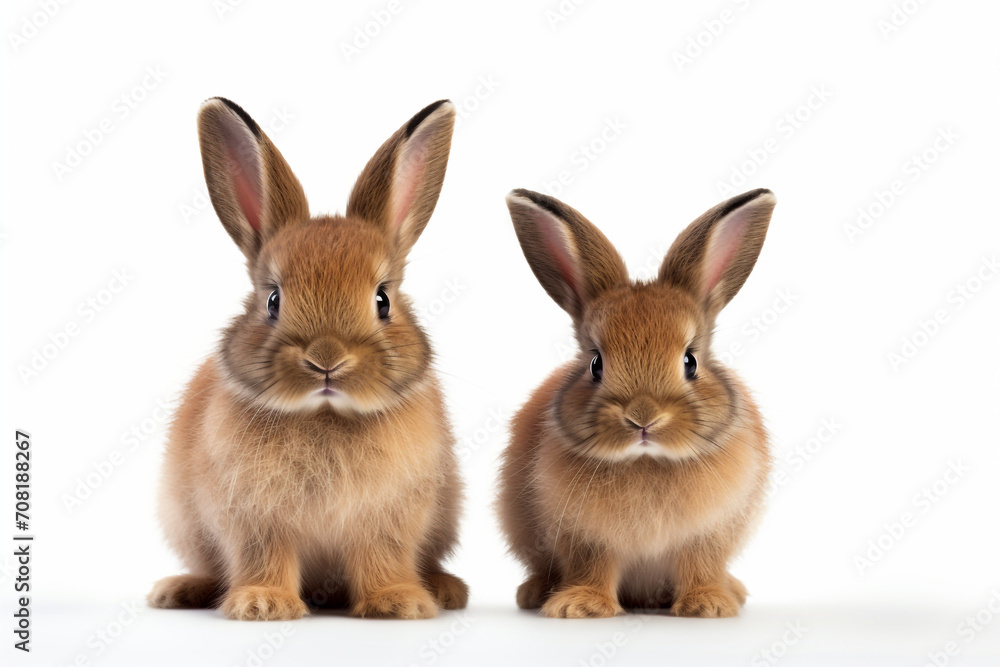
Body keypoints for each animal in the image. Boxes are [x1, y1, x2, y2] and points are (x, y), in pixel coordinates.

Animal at [146, 98, 466, 620]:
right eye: (273, 300)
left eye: (383, 300)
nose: (326, 359)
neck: (325, 414)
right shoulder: (253, 518)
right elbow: (264, 557)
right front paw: (262, 604)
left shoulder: (389, 519)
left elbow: (383, 557)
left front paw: (398, 602)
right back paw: (178, 590)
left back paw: (444, 589)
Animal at [496, 185, 776, 620]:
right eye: (596, 363)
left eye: (690, 361)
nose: (643, 418)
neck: (647, 461)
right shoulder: (585, 538)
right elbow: (593, 567)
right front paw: (580, 606)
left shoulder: (708, 534)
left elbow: (700, 564)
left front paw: (707, 605)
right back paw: (536, 593)